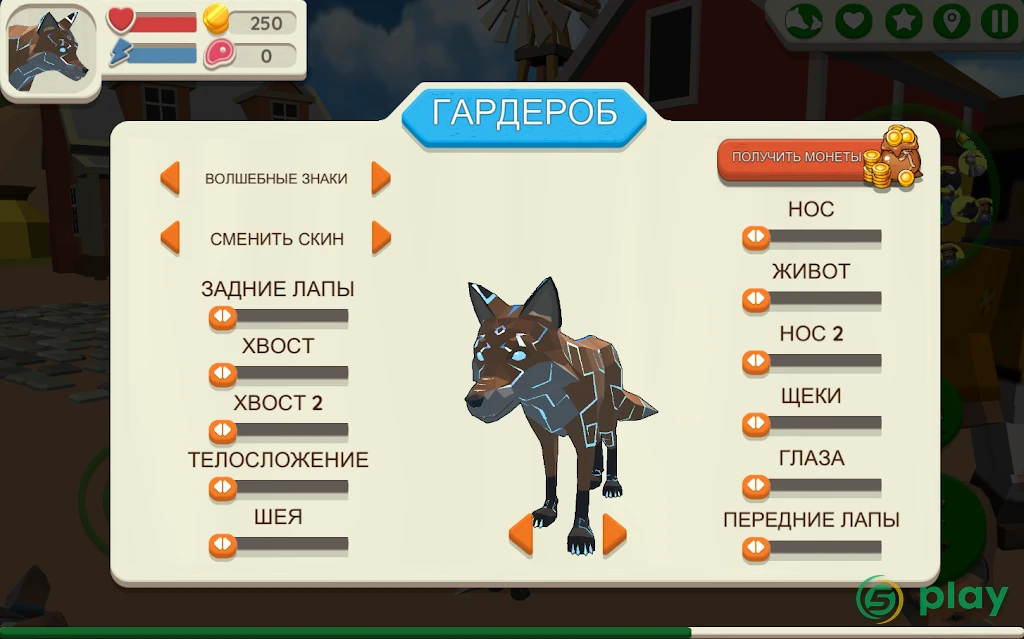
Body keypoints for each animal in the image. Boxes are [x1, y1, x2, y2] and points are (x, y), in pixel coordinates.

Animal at [465, 277, 657, 555]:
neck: (548, 401)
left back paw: (610, 483)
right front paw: (548, 511)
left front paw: (581, 534)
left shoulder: (583, 432)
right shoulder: (546, 436)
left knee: (611, 443)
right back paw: (595, 476)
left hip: (606, 419)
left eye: (518, 355)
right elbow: (551, 477)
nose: (473, 402)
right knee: (598, 447)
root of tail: (605, 343)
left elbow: (580, 493)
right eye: (480, 355)